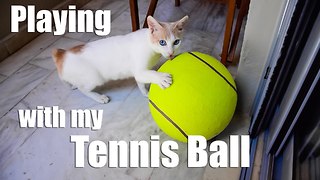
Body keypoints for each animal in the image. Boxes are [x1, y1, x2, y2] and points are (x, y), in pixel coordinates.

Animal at [51, 16, 189, 103]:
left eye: (176, 42)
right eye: (162, 42)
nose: (171, 53)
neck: (149, 44)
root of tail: (63, 53)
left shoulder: (140, 72)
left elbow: (141, 81)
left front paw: (145, 92)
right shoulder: (139, 70)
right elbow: (150, 74)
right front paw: (161, 78)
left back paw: (73, 85)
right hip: (94, 78)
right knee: (83, 89)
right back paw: (99, 97)